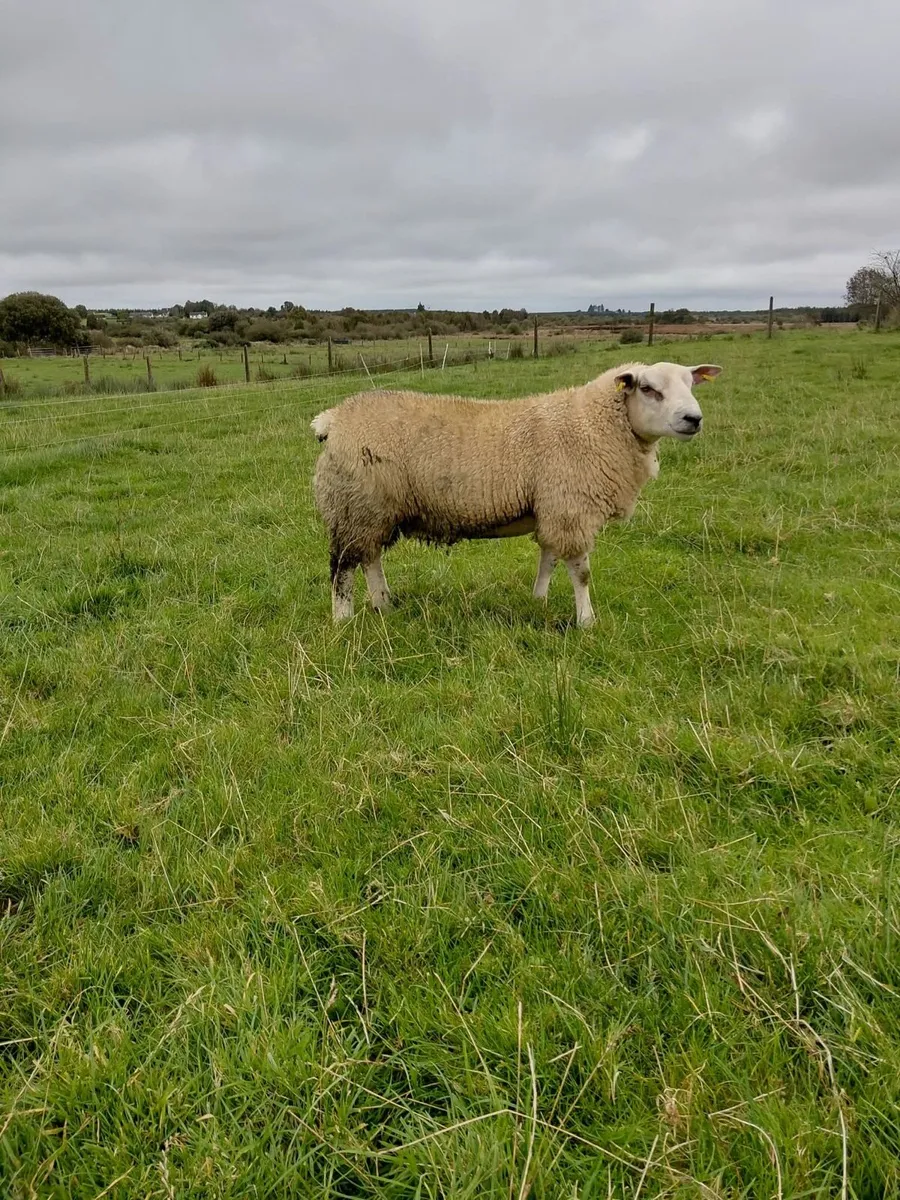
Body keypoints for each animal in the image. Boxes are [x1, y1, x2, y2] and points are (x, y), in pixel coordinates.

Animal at [311, 360, 722, 626]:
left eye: (691, 385)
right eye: (649, 389)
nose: (693, 419)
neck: (592, 425)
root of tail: (331, 419)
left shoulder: (553, 509)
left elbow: (549, 560)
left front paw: (539, 601)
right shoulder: (570, 508)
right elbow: (582, 573)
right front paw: (587, 621)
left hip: (373, 508)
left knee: (370, 558)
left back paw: (384, 605)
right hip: (354, 502)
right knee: (343, 566)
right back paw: (343, 621)